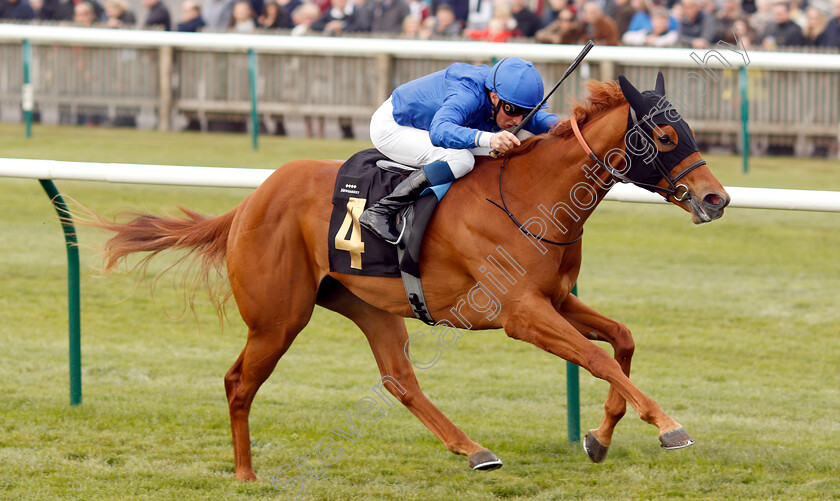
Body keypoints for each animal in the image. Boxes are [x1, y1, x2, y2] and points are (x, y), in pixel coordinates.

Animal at [93, 73, 728, 476]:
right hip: (278, 317)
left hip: (369, 305)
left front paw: (600, 436)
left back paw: (473, 450)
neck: (529, 196)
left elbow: (622, 339)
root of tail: (250, 202)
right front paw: (668, 425)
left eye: (691, 131)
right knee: (238, 383)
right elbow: (596, 357)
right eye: (665, 136)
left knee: (399, 380)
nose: (716, 199)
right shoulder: (521, 314)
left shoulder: (556, 300)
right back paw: (246, 474)